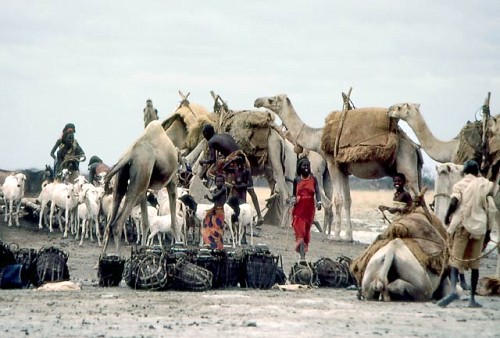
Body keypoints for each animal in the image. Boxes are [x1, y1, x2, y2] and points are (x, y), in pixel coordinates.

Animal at [102, 120, 180, 255]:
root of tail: (129, 155)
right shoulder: (172, 182)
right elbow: (173, 221)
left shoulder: (145, 188)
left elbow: (145, 223)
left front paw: (144, 250)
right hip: (139, 180)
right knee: (116, 224)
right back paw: (117, 256)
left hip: (124, 182)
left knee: (109, 224)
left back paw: (101, 258)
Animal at [254, 93, 422, 240]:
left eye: (272, 99)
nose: (257, 101)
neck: (317, 138)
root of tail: (415, 147)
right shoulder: (344, 170)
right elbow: (347, 200)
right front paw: (348, 236)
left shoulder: (332, 164)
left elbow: (337, 199)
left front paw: (335, 235)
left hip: (407, 168)